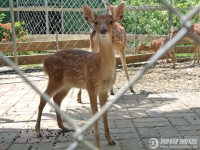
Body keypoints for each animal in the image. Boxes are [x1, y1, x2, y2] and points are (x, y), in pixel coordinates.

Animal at [34, 2, 125, 148]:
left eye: (111, 21)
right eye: (96, 22)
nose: (103, 30)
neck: (101, 67)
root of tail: (44, 61)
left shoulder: (104, 89)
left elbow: (104, 113)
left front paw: (110, 140)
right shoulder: (91, 85)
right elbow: (95, 113)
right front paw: (97, 145)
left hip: (67, 84)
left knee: (56, 98)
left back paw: (64, 127)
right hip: (54, 78)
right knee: (44, 96)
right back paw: (37, 131)